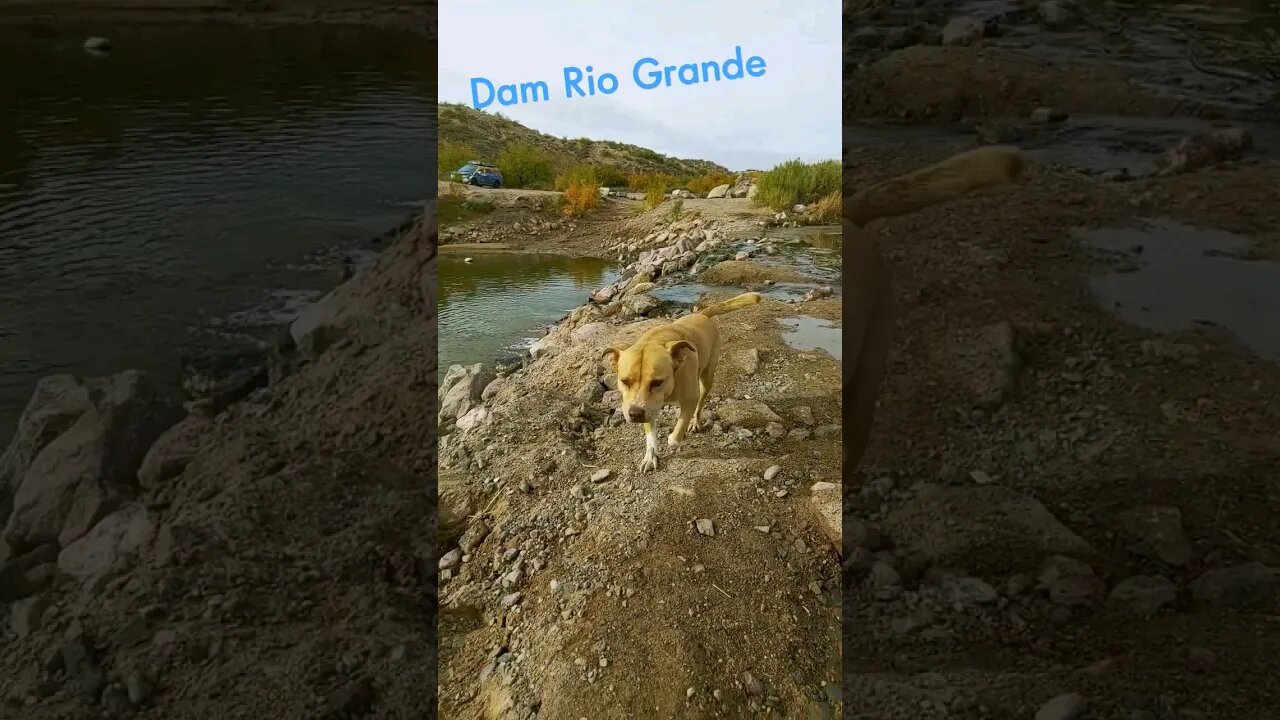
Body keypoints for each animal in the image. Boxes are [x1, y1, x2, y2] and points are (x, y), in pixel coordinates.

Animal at [606, 292, 762, 471]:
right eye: (625, 381)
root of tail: (702, 314)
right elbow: (650, 433)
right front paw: (650, 456)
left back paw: (695, 422)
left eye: (657, 382)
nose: (635, 414)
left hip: (707, 378)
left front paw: (673, 438)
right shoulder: (649, 407)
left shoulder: (689, 399)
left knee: (701, 402)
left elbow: (677, 432)